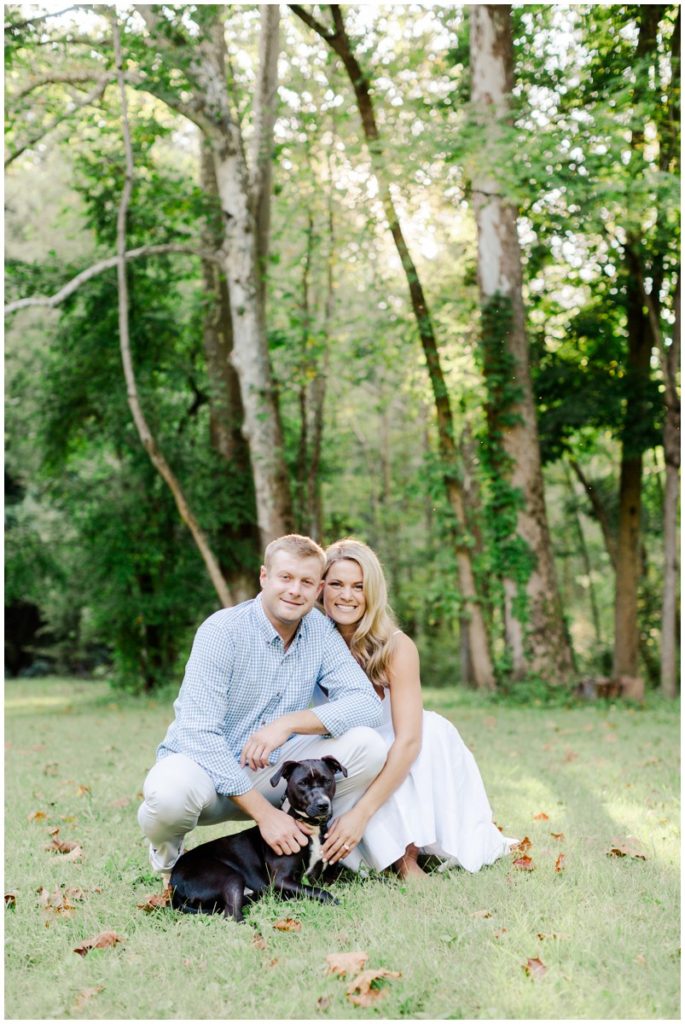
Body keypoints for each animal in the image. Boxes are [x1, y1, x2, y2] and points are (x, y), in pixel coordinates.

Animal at [165, 757, 348, 925]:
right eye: (302, 783)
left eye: (327, 780)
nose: (323, 805)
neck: (309, 826)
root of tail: (173, 884)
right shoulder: (281, 880)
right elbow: (320, 892)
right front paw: (334, 901)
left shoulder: (317, 876)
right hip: (230, 877)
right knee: (232, 915)